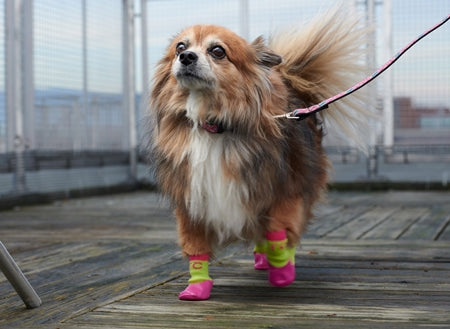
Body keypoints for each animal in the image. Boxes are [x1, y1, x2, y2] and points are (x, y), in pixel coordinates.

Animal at [148, 5, 370, 300]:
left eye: (217, 51)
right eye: (180, 47)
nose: (185, 57)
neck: (214, 124)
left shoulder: (281, 190)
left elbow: (278, 231)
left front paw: (282, 271)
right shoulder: (192, 199)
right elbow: (196, 246)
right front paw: (196, 287)